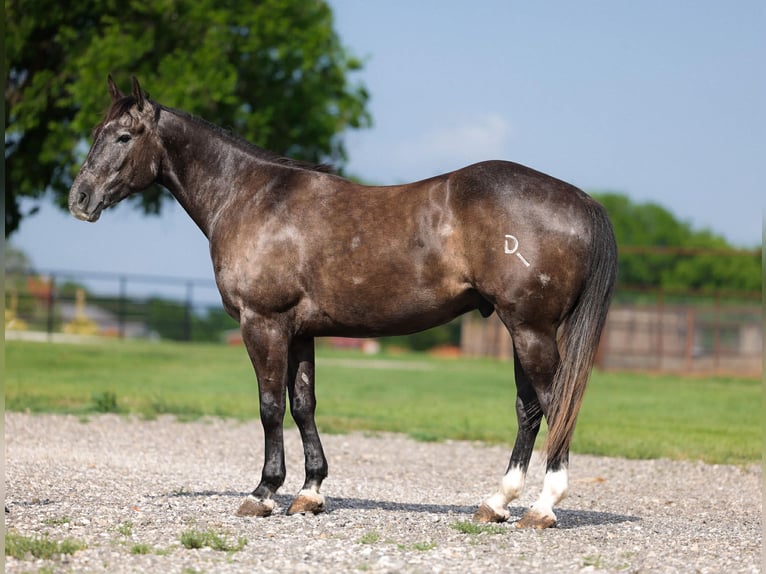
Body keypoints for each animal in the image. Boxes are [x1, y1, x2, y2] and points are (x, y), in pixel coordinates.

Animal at [69, 76, 617, 529]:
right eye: (97, 131)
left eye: (123, 137)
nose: (79, 199)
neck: (251, 197)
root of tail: (583, 201)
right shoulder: (300, 331)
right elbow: (303, 405)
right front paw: (309, 492)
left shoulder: (263, 324)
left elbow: (270, 406)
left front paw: (263, 492)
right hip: (521, 329)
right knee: (529, 410)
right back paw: (496, 503)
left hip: (530, 330)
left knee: (555, 405)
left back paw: (543, 508)